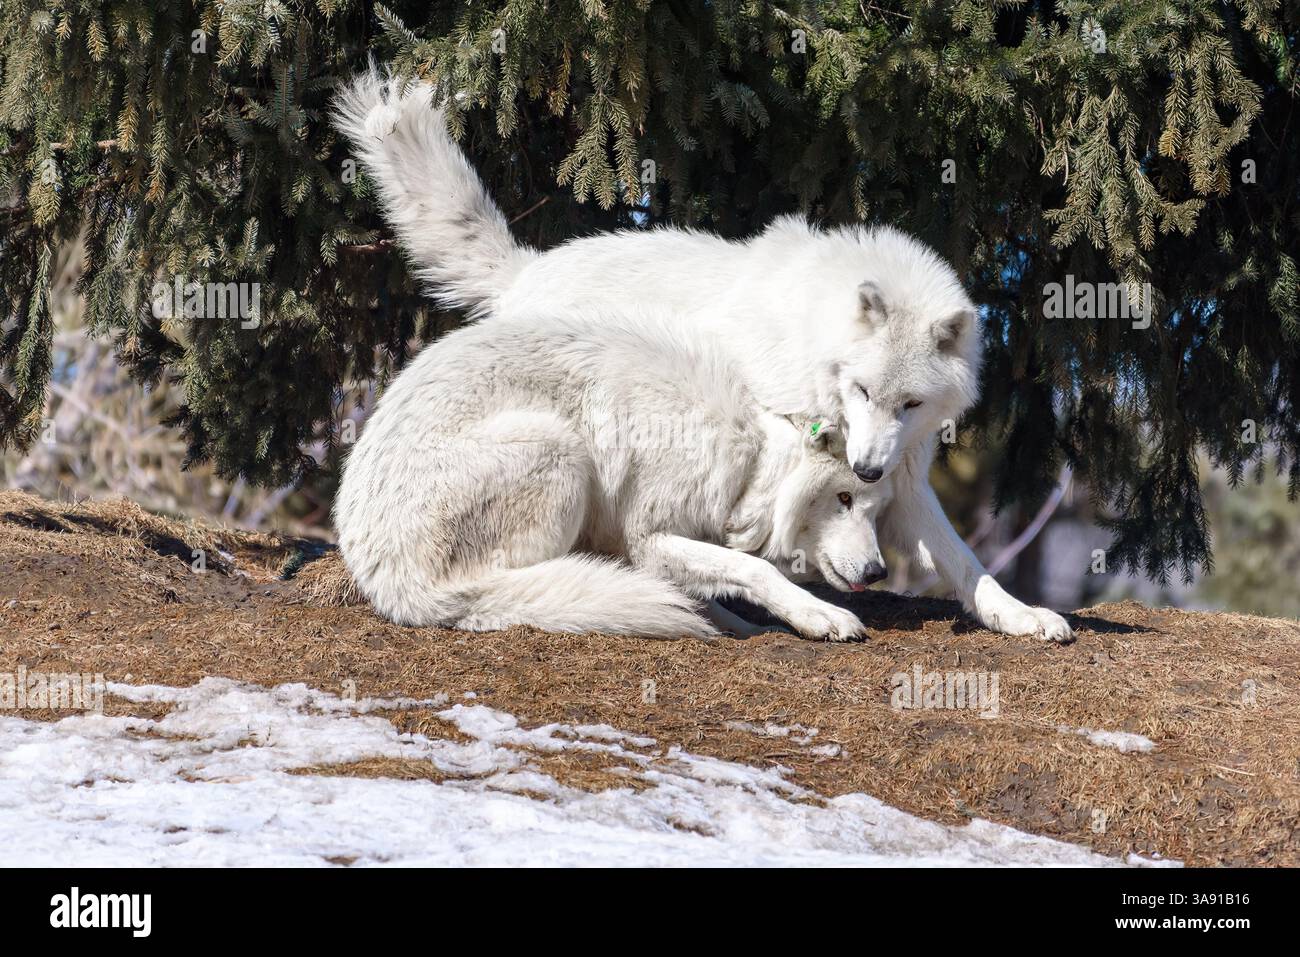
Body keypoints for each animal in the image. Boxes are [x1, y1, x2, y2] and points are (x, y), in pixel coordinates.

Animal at [333, 308, 892, 641]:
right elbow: (754, 569)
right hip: (558, 448)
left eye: (872, 507)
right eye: (843, 498)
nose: (877, 572)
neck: (749, 463)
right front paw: (820, 617)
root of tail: (393, 584)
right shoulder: (648, 537)